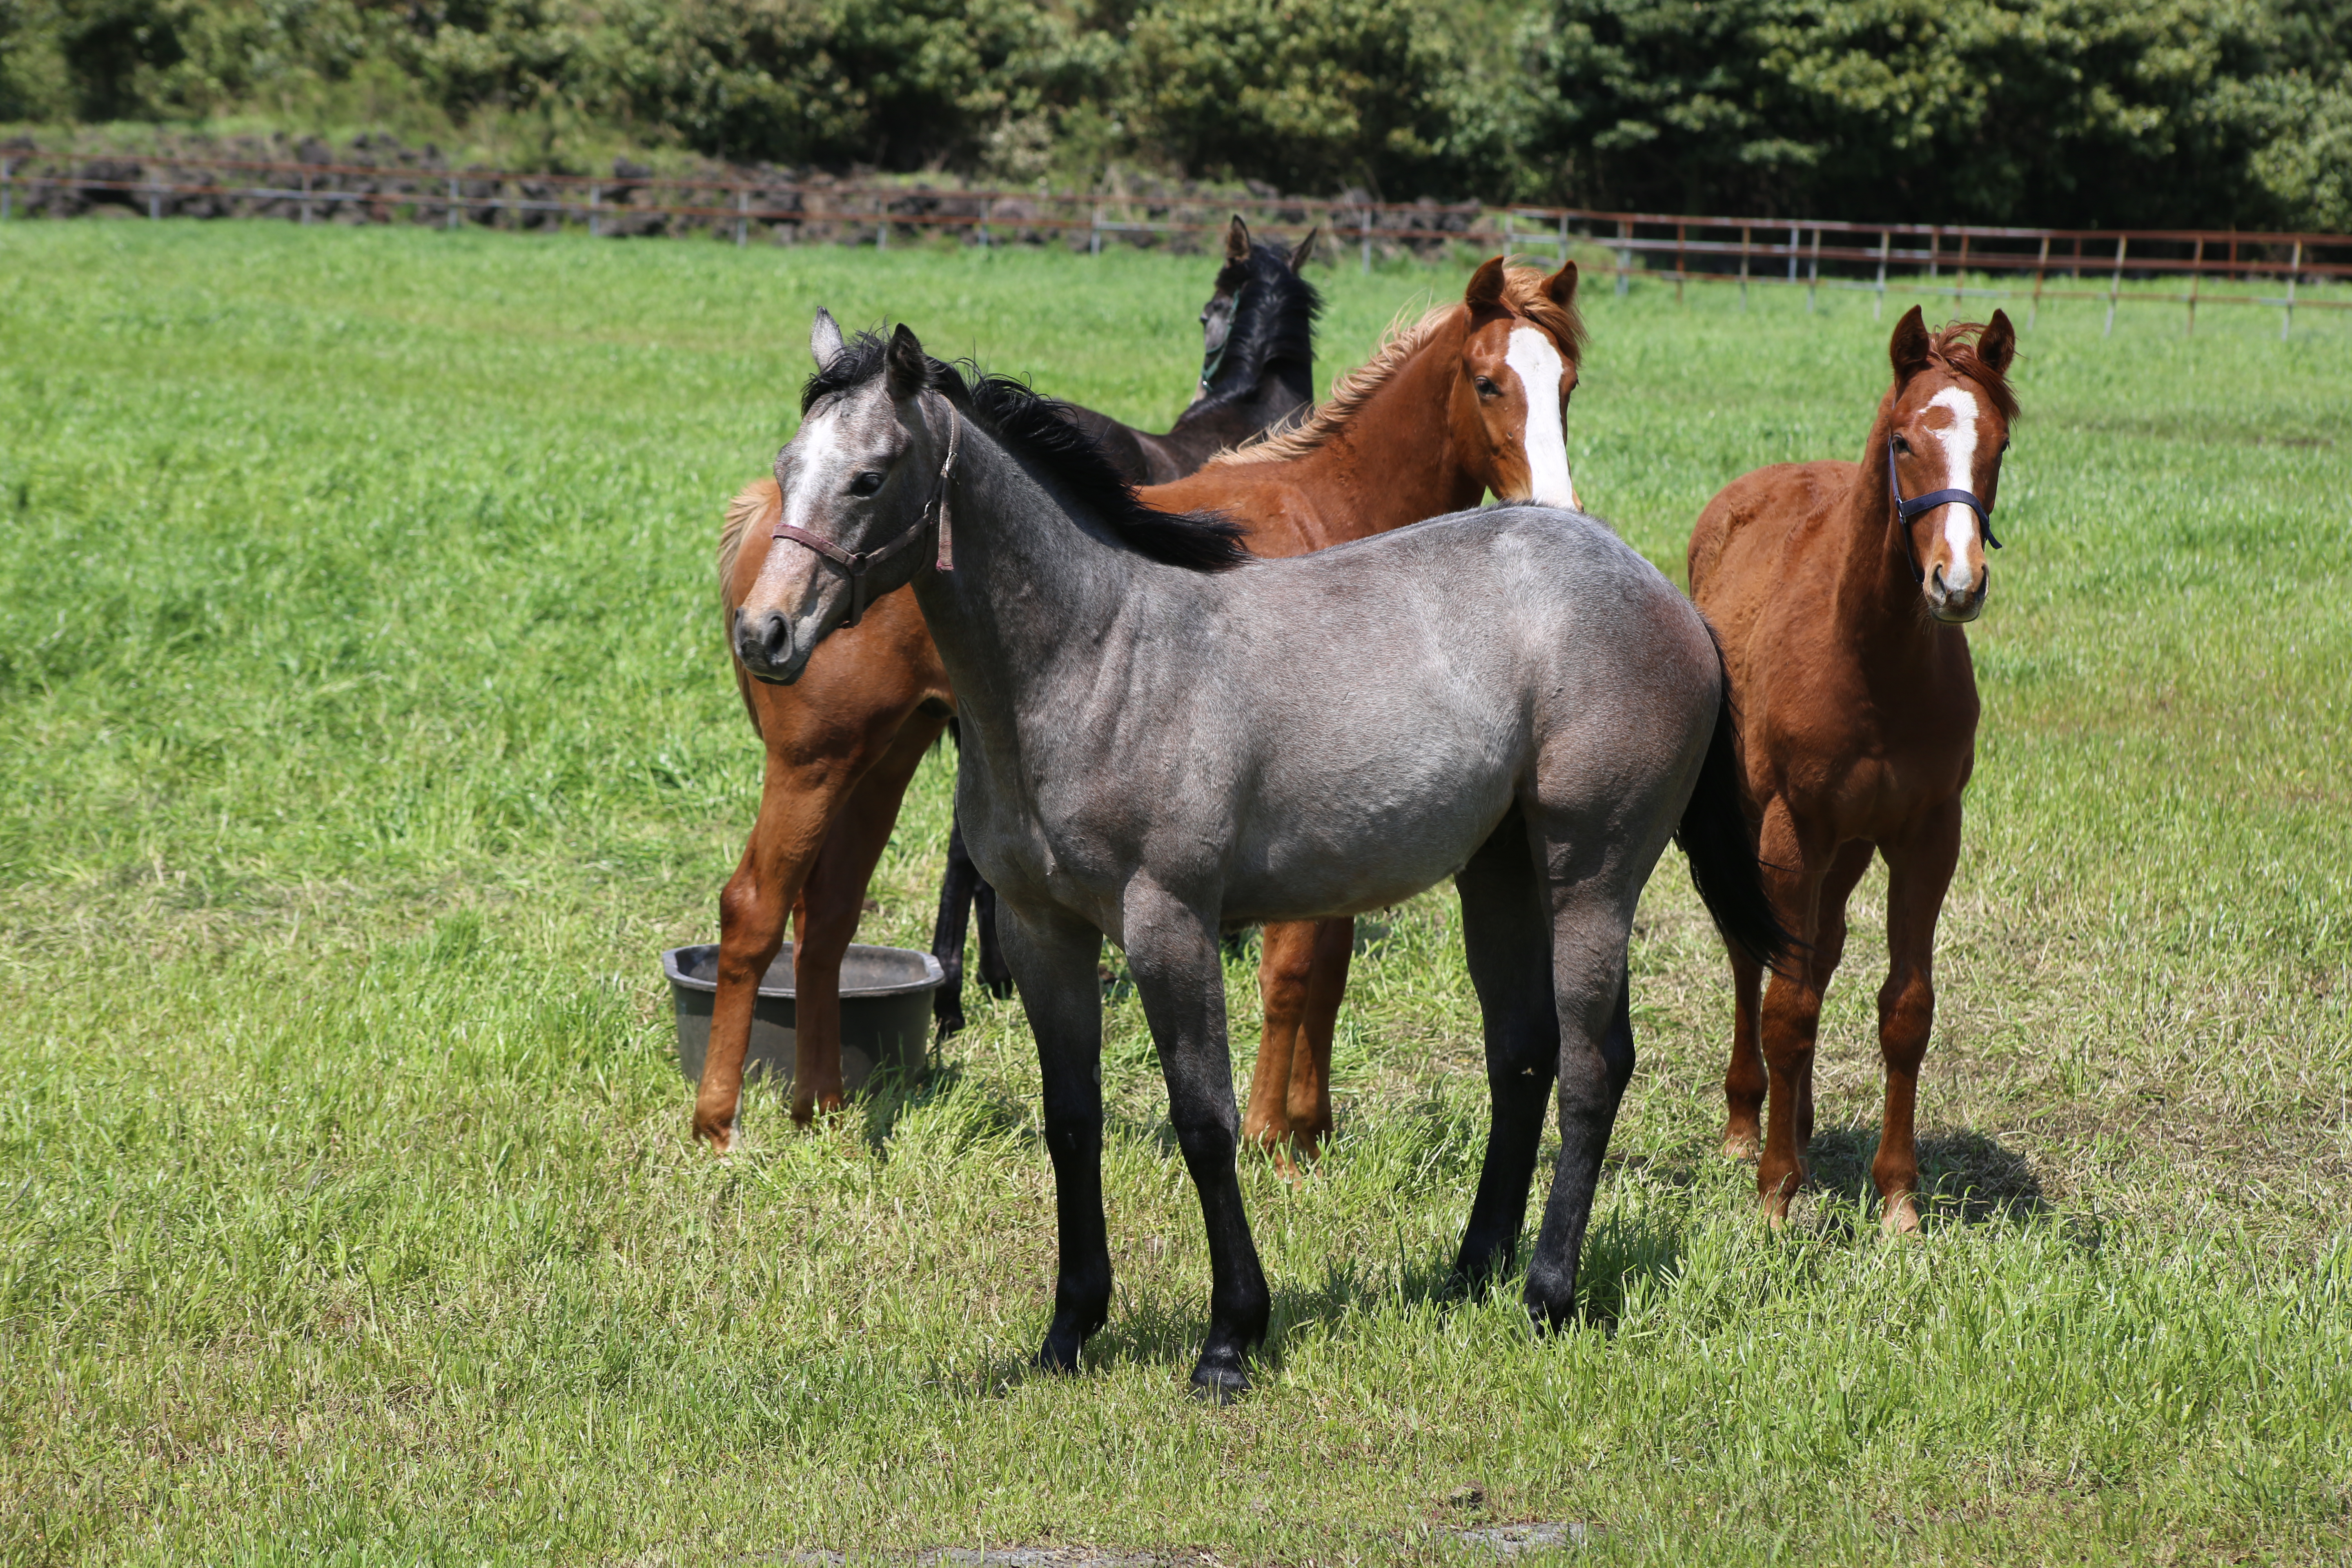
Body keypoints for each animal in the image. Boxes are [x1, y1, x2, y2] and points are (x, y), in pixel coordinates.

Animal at [696, 257, 1580, 1147]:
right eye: (1488, 383)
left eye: (1568, 384)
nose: (1558, 508)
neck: (1328, 510)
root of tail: (758, 519)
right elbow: (1293, 973)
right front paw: (1273, 1137)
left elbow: (1327, 970)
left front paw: (1311, 1124)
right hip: (814, 762)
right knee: (754, 910)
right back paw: (717, 1123)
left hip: (885, 754)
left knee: (828, 918)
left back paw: (822, 1105)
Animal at [1693, 305, 2022, 1232]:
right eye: (1906, 441)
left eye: (1998, 444)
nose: (1958, 583)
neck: (1873, 660)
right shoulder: (1790, 829)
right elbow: (1787, 1003)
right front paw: (1775, 1193)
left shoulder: (1927, 832)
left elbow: (1905, 1009)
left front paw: (1898, 1199)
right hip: (1765, 833)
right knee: (1754, 958)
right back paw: (1748, 1125)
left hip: (1846, 849)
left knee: (1823, 950)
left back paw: (1799, 1121)